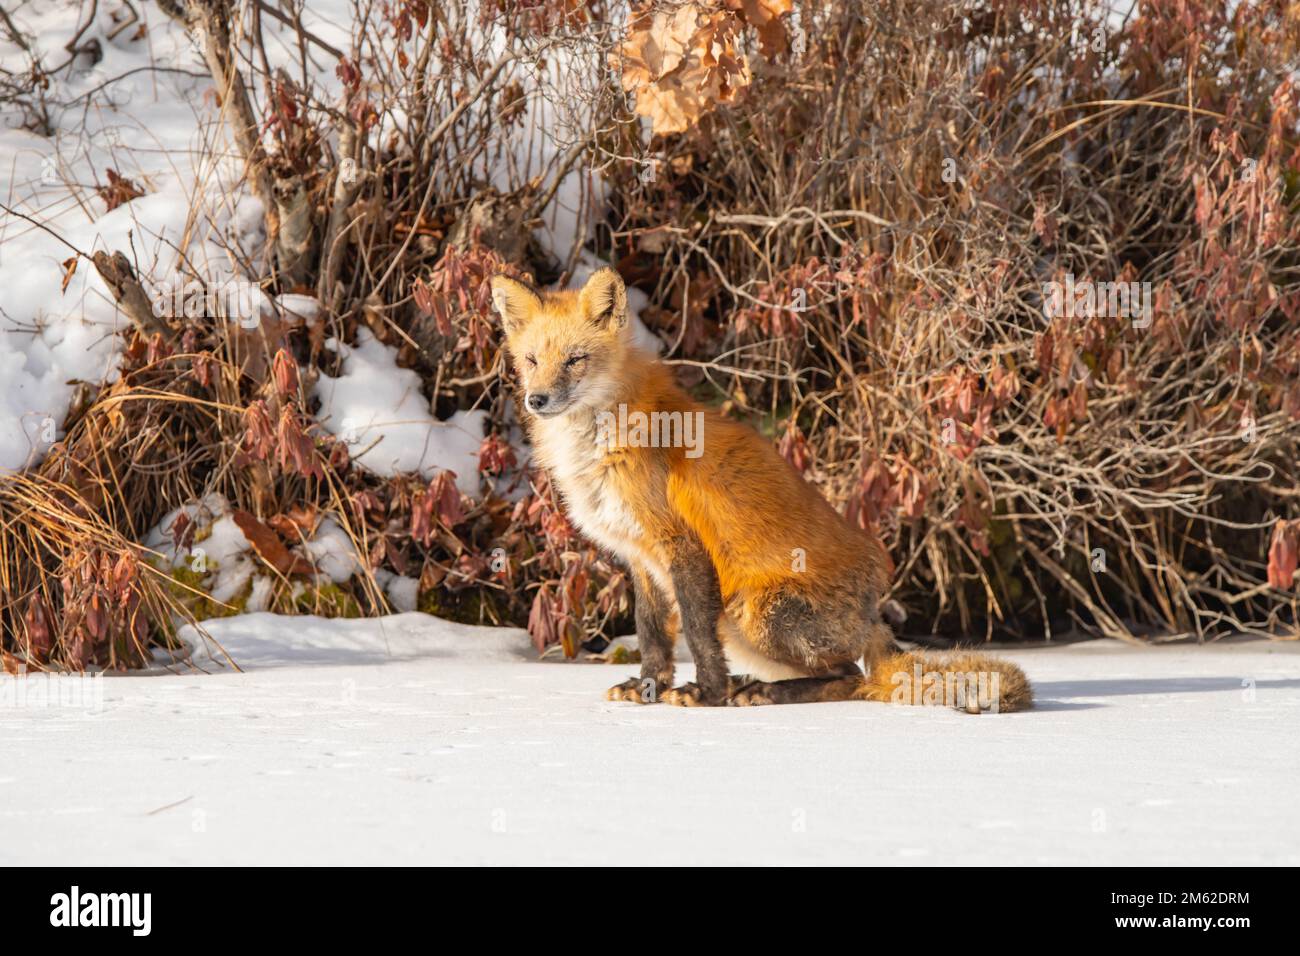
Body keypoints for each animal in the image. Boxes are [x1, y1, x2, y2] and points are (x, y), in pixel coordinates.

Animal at [491, 269, 1029, 712]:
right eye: (532, 360)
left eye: (575, 361)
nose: (537, 400)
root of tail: (874, 612)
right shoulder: (640, 557)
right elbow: (651, 634)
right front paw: (648, 688)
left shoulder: (683, 546)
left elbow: (697, 635)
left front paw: (707, 694)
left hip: (754, 612)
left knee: (851, 677)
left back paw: (763, 693)